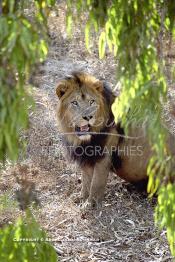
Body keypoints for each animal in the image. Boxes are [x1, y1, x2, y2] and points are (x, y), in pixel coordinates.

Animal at [56, 71, 175, 209]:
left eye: (92, 102)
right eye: (74, 103)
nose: (88, 117)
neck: (84, 139)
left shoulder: (103, 157)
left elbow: (96, 183)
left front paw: (91, 205)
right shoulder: (87, 158)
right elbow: (86, 182)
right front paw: (82, 199)